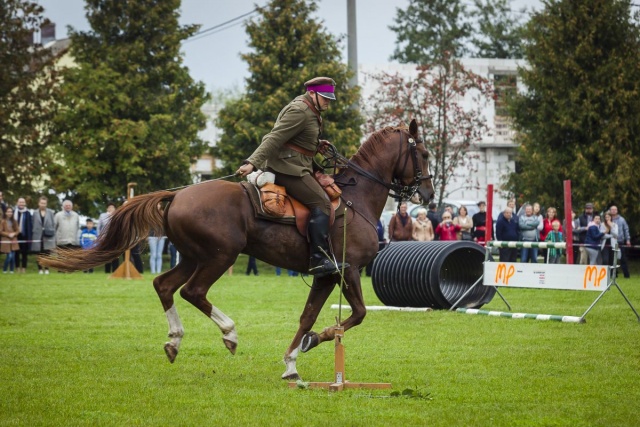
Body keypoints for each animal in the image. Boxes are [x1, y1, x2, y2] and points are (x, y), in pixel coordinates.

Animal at [40, 119, 434, 380]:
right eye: (425, 153)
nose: (429, 194)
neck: (356, 199)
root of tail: (177, 195)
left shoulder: (325, 275)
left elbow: (307, 316)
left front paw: (292, 362)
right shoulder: (347, 270)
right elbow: (356, 315)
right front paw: (311, 343)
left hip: (193, 256)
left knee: (164, 286)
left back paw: (174, 341)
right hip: (218, 256)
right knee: (193, 292)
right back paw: (229, 334)